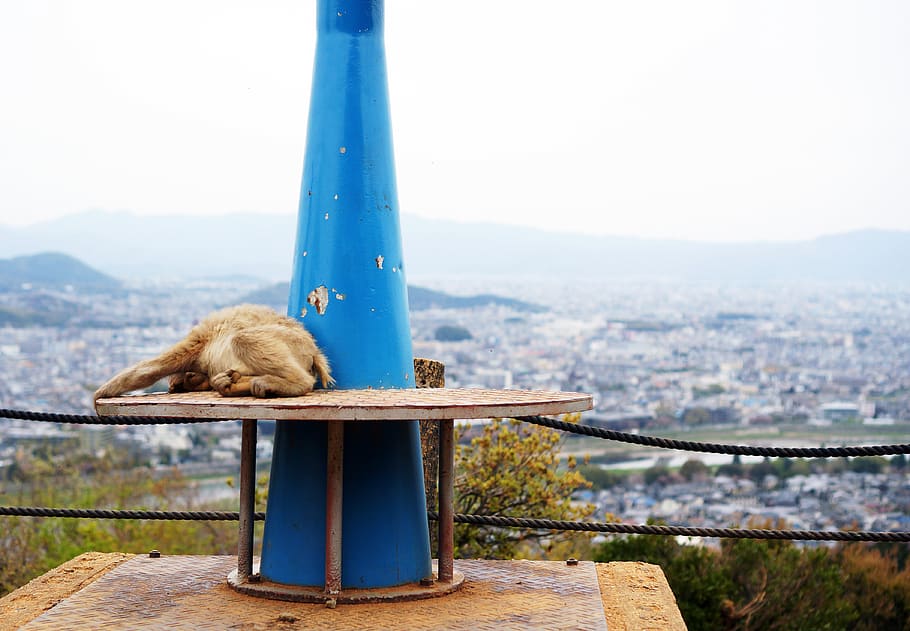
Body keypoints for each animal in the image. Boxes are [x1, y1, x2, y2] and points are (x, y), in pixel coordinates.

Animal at [93, 304, 333, 404]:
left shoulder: (196, 342)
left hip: (293, 340)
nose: (188, 378)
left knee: (243, 339)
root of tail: (314, 350)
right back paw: (235, 384)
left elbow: (149, 370)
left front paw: (102, 392)